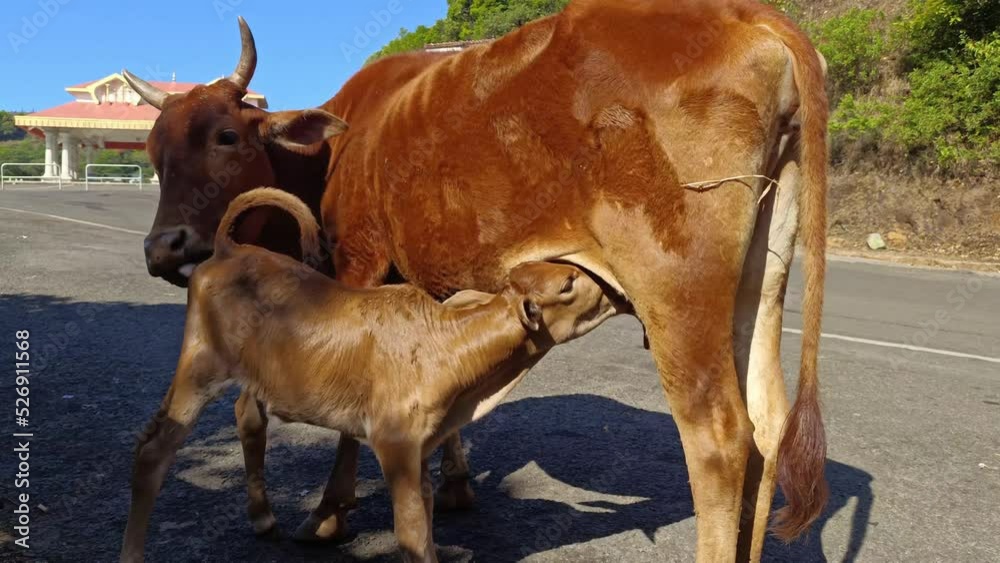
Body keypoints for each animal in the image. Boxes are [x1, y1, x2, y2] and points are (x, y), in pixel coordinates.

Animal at [128, 0, 830, 560]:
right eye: (154, 150)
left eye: (225, 135)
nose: (163, 249)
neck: (339, 146)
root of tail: (750, 15)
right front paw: (456, 483)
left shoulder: (359, 259)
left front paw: (328, 514)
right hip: (760, 276)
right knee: (767, 424)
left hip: (676, 291)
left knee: (719, 436)